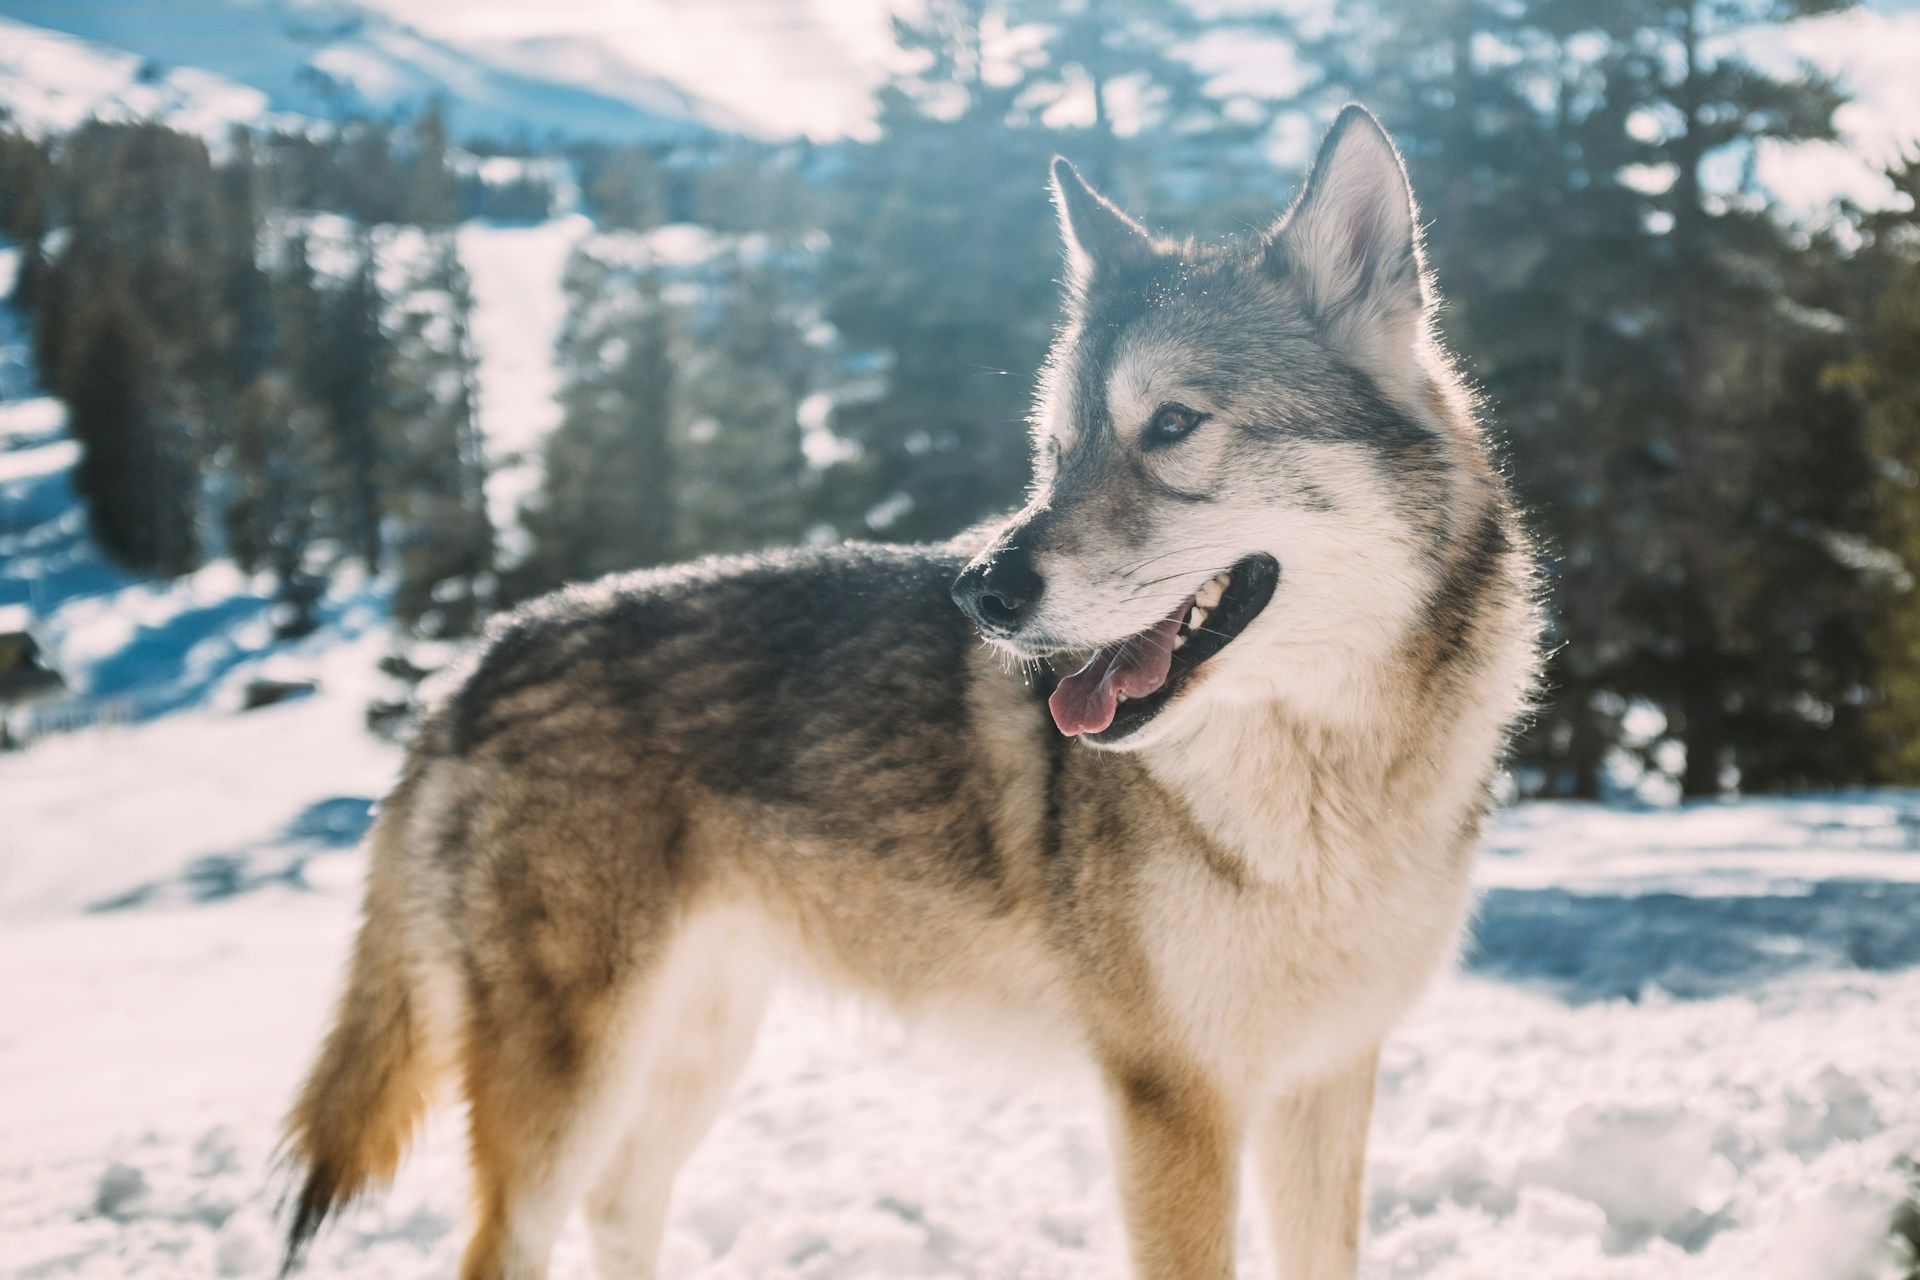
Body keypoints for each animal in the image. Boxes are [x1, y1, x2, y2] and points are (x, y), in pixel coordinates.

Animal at [284, 107, 1536, 1280]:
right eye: (1056, 450)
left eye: (1173, 424)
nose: (983, 586)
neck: (1329, 786)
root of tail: (480, 658)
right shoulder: (1171, 1098)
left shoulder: (1327, 1077)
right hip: (577, 1081)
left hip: (693, 1047)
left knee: (622, 1205)